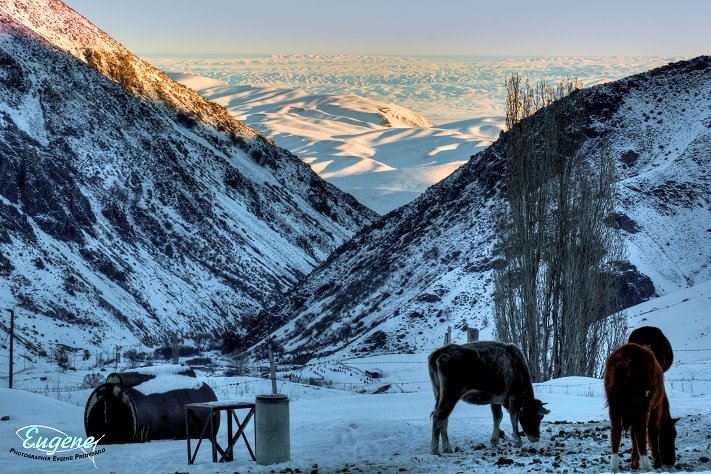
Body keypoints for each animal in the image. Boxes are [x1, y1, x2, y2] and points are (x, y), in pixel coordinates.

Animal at [608, 342, 680, 472]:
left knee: (616, 431)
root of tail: (625, 357)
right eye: (672, 434)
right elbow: (652, 433)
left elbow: (632, 435)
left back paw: (614, 466)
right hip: (642, 405)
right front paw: (656, 462)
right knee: (640, 431)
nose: (670, 461)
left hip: (614, 406)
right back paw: (647, 465)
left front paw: (634, 463)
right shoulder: (655, 409)